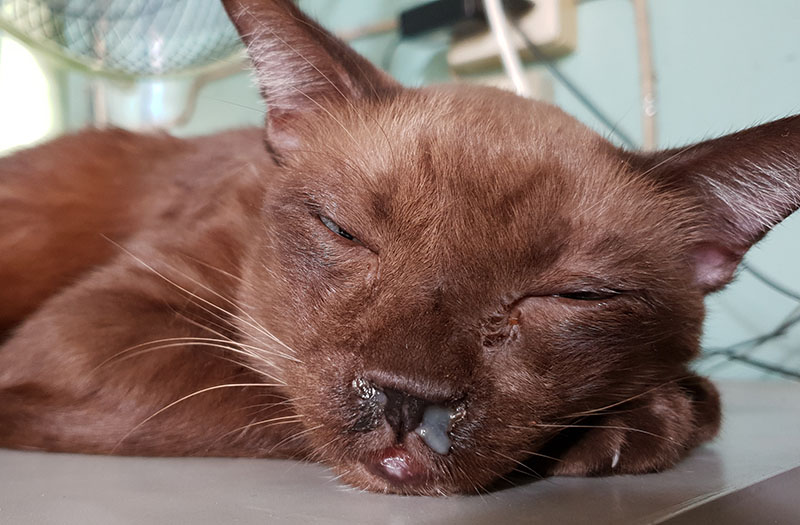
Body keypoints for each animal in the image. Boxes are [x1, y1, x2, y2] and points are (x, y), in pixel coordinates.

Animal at [1, 0, 800, 496]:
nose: (410, 402)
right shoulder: (98, 328)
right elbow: (267, 389)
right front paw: (637, 423)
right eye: (344, 232)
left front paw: (651, 413)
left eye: (574, 296)